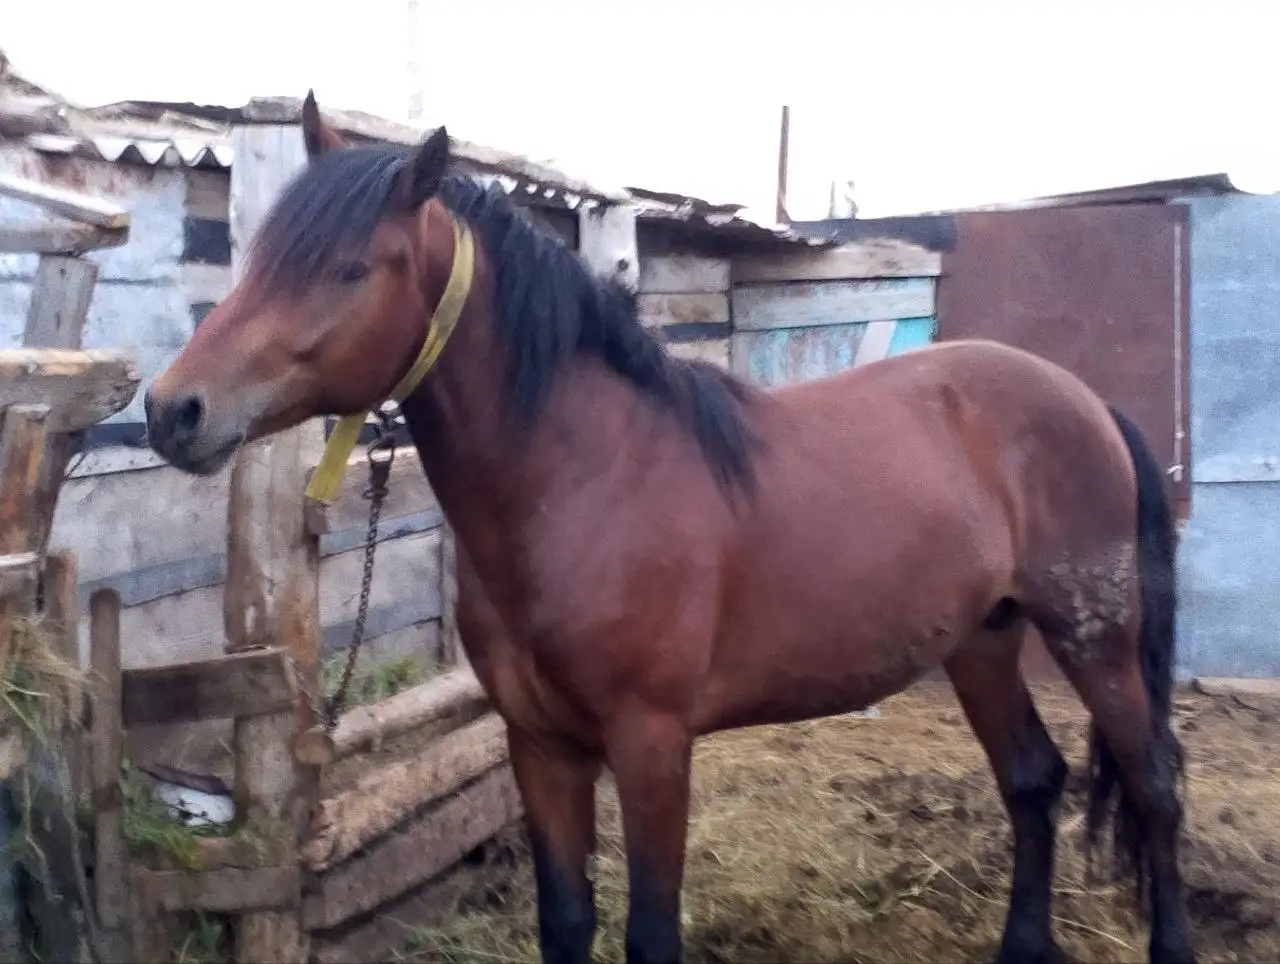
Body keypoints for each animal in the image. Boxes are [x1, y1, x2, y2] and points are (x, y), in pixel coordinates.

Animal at [143, 93, 1195, 964]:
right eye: (257, 255)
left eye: (349, 268)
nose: (171, 410)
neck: (586, 478)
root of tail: (1086, 402)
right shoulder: (541, 746)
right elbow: (565, 920)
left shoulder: (652, 746)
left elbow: (650, 933)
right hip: (982, 640)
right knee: (1033, 779)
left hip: (1095, 637)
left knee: (1153, 787)